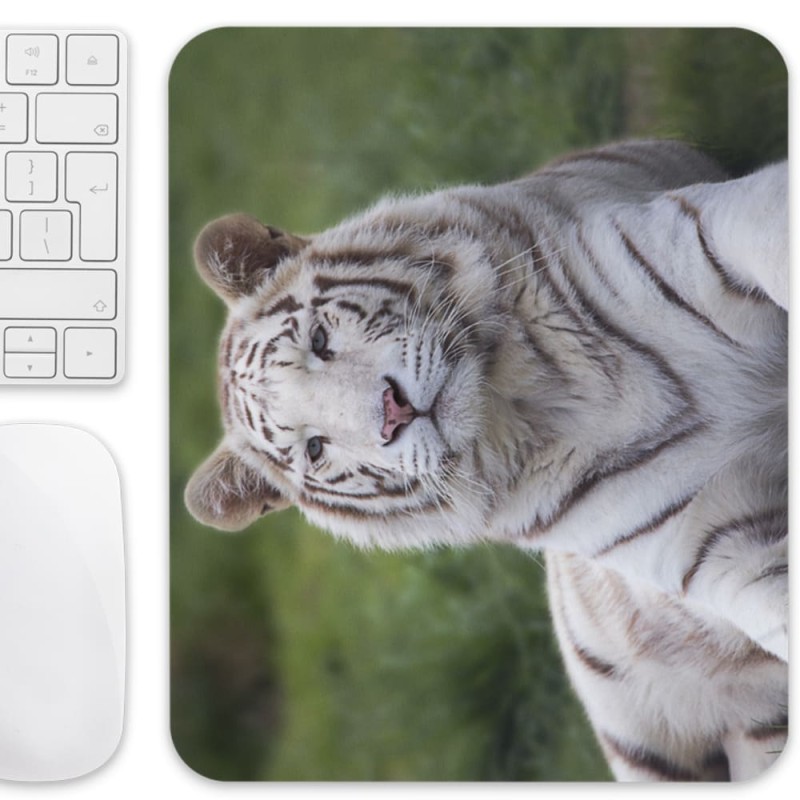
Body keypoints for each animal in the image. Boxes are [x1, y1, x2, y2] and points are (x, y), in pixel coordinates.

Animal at [184, 140, 788, 781]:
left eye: (320, 341)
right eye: (314, 447)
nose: (393, 412)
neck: (530, 404)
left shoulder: (703, 235)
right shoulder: (718, 544)